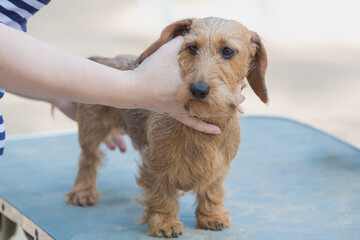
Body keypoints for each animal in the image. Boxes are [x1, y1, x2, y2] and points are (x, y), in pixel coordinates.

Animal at [65, 17, 268, 238]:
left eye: (228, 51)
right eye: (192, 47)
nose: (198, 89)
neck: (202, 124)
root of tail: (105, 60)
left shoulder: (219, 166)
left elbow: (212, 190)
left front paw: (212, 215)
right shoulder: (157, 165)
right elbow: (161, 195)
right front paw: (164, 222)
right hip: (91, 129)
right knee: (88, 159)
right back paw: (83, 192)